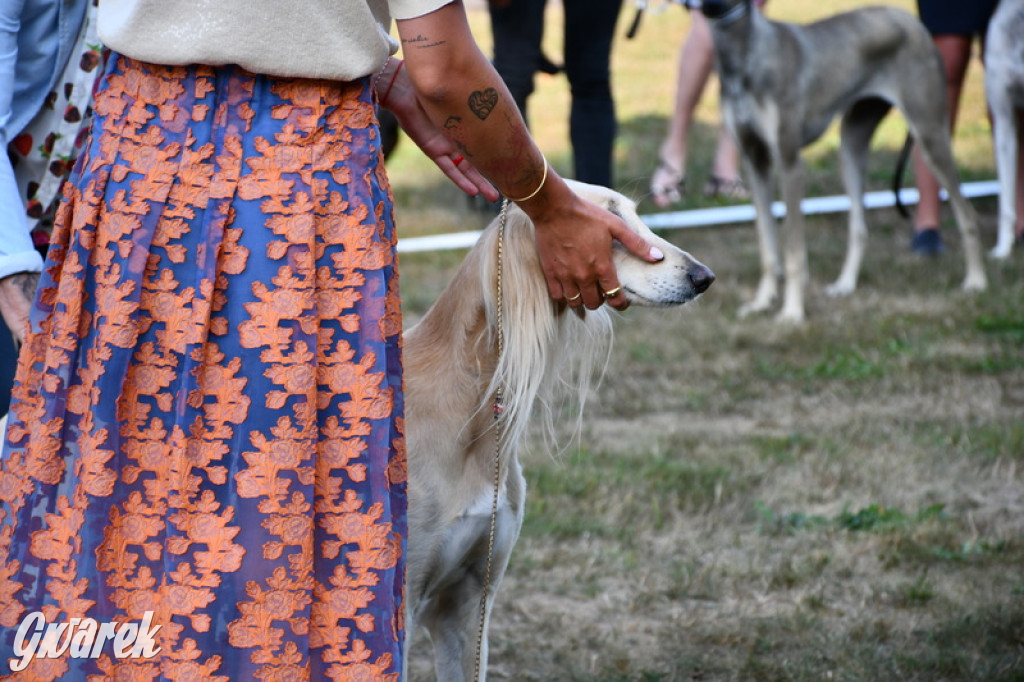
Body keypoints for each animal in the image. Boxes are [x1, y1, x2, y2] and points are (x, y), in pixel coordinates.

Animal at [700, 0, 987, 321]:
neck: (745, 54)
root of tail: (911, 20)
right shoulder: (756, 163)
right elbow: (767, 247)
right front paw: (762, 302)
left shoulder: (789, 163)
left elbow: (793, 251)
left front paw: (792, 311)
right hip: (851, 146)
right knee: (859, 228)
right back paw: (845, 285)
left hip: (930, 135)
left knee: (968, 214)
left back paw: (976, 281)